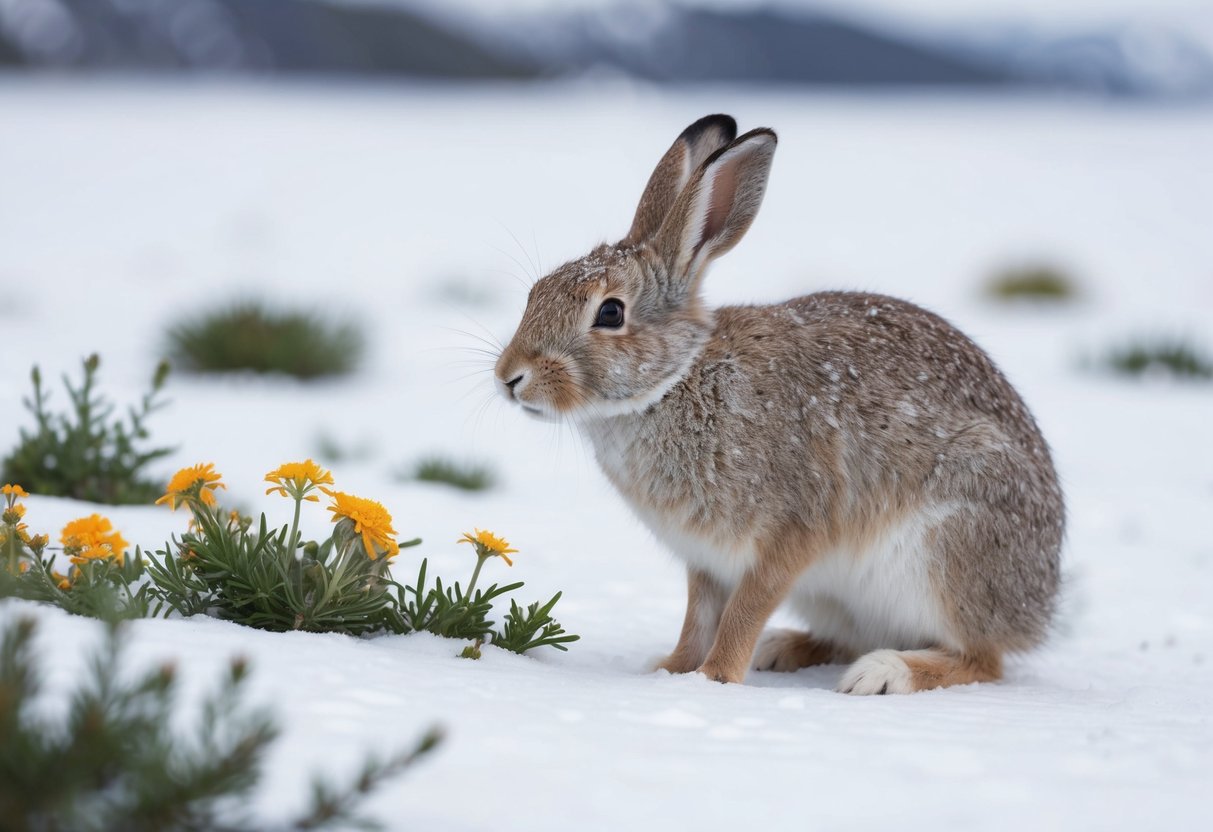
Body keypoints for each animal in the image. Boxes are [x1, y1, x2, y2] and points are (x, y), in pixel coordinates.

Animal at [494, 114, 1063, 694]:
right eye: (537, 291)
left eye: (610, 313)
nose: (509, 377)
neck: (675, 382)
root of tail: (1037, 608)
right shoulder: (705, 561)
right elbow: (699, 616)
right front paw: (672, 670)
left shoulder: (790, 532)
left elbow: (745, 609)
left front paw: (715, 678)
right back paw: (784, 648)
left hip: (947, 551)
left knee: (982, 659)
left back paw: (882, 673)